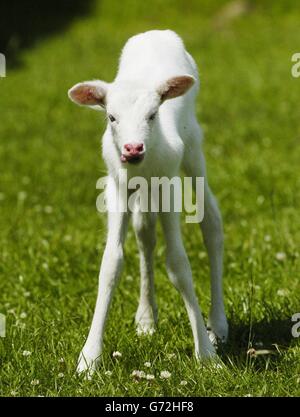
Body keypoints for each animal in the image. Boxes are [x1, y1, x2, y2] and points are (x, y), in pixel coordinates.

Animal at [68, 29, 227, 374]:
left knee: (211, 221)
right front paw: (89, 358)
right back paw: (146, 319)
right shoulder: (117, 185)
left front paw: (206, 354)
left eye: (152, 115)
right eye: (111, 117)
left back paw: (218, 324)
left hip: (193, 147)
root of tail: (157, 32)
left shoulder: (169, 184)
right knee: (145, 231)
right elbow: (111, 263)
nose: (132, 148)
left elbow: (178, 264)